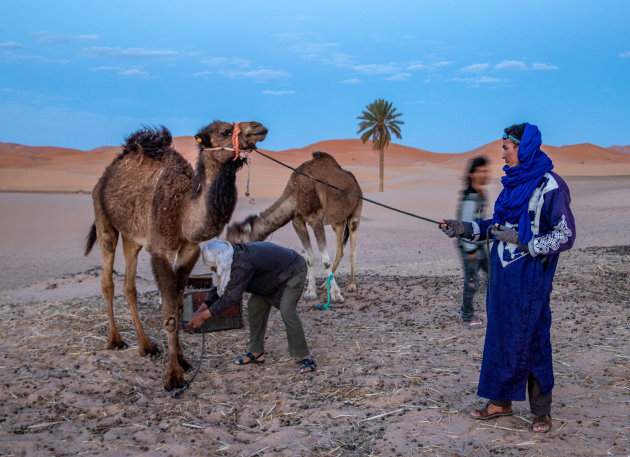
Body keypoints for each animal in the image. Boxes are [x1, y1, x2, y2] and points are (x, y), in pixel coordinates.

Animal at [85, 120, 268, 388]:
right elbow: (170, 315)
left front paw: (182, 360)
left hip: (133, 238)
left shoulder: (189, 249)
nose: (259, 127)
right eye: (224, 132)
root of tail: (107, 174)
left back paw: (147, 346)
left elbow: (179, 305)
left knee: (129, 286)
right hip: (103, 219)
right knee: (107, 281)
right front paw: (173, 376)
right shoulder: (160, 250)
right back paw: (115, 340)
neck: (184, 210)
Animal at [230, 151, 362, 302]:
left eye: (238, 242)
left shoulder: (316, 220)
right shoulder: (298, 222)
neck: (295, 194)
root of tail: (355, 182)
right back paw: (324, 284)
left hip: (356, 209)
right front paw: (310, 292)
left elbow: (325, 261)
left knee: (352, 247)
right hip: (337, 221)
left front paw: (335, 294)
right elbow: (309, 259)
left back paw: (352, 285)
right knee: (340, 249)